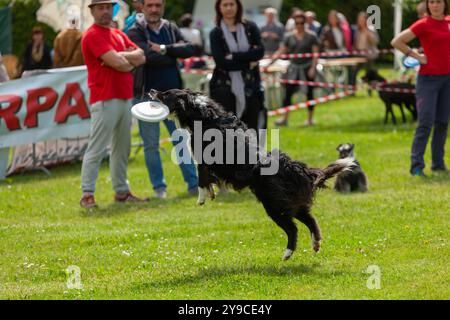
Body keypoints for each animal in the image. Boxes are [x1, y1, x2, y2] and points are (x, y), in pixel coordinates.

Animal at [151, 89, 356, 262]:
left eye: (166, 94)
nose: (151, 90)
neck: (202, 114)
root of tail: (295, 169)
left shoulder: (203, 158)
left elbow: (202, 178)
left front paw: (201, 198)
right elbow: (208, 180)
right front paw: (211, 193)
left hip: (274, 206)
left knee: (293, 229)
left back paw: (287, 254)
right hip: (290, 202)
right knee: (310, 220)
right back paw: (315, 244)